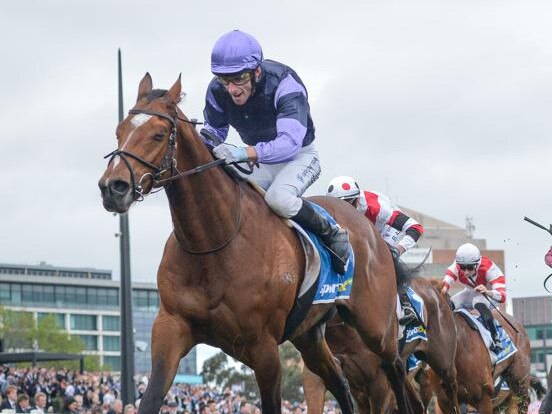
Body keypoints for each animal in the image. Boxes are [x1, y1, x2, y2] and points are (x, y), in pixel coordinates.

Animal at [99, 74, 416, 414]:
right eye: (119, 130)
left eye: (158, 134)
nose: (113, 187)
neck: (214, 242)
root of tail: (369, 230)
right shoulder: (171, 328)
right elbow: (151, 397)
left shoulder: (264, 348)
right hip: (310, 336)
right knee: (340, 384)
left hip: (375, 325)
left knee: (395, 368)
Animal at [304, 276, 460, 412]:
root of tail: (436, 290)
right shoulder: (320, 377)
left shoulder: (379, 382)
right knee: (417, 403)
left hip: (443, 361)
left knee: (450, 388)